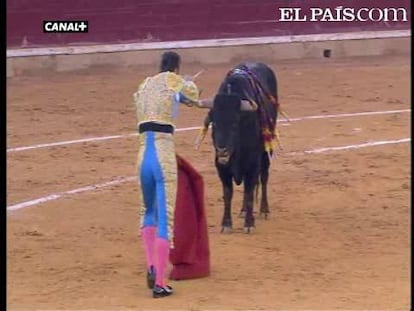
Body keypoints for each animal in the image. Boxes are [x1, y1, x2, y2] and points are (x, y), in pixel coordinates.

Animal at [203, 62, 278, 234]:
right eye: (214, 123)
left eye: (234, 124)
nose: (222, 150)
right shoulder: (221, 168)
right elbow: (228, 194)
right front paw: (226, 223)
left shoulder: (252, 165)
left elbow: (250, 192)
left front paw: (249, 223)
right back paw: (243, 210)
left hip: (267, 151)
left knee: (264, 177)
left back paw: (264, 210)